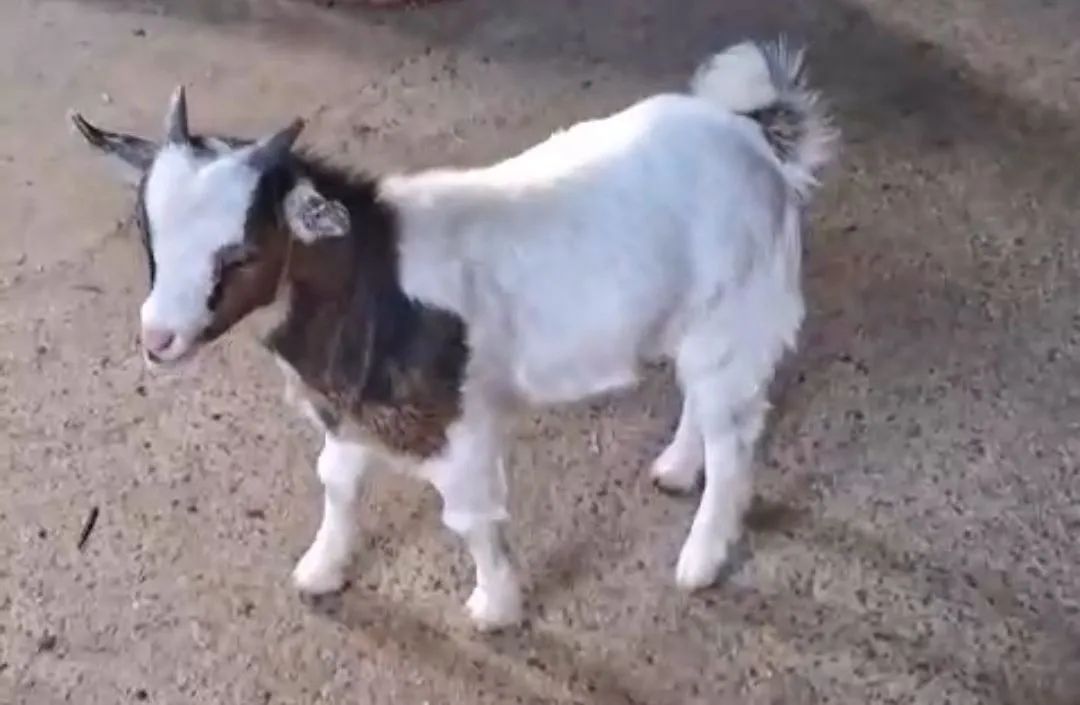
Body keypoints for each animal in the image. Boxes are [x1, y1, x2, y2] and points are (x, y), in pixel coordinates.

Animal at [71, 39, 837, 629]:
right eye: (147, 231)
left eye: (243, 253)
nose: (158, 338)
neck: (372, 272)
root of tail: (752, 134)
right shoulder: (351, 412)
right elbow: (336, 484)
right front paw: (321, 568)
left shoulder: (456, 421)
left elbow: (469, 518)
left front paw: (495, 608)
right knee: (702, 405)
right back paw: (676, 468)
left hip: (736, 316)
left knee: (734, 440)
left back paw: (699, 560)